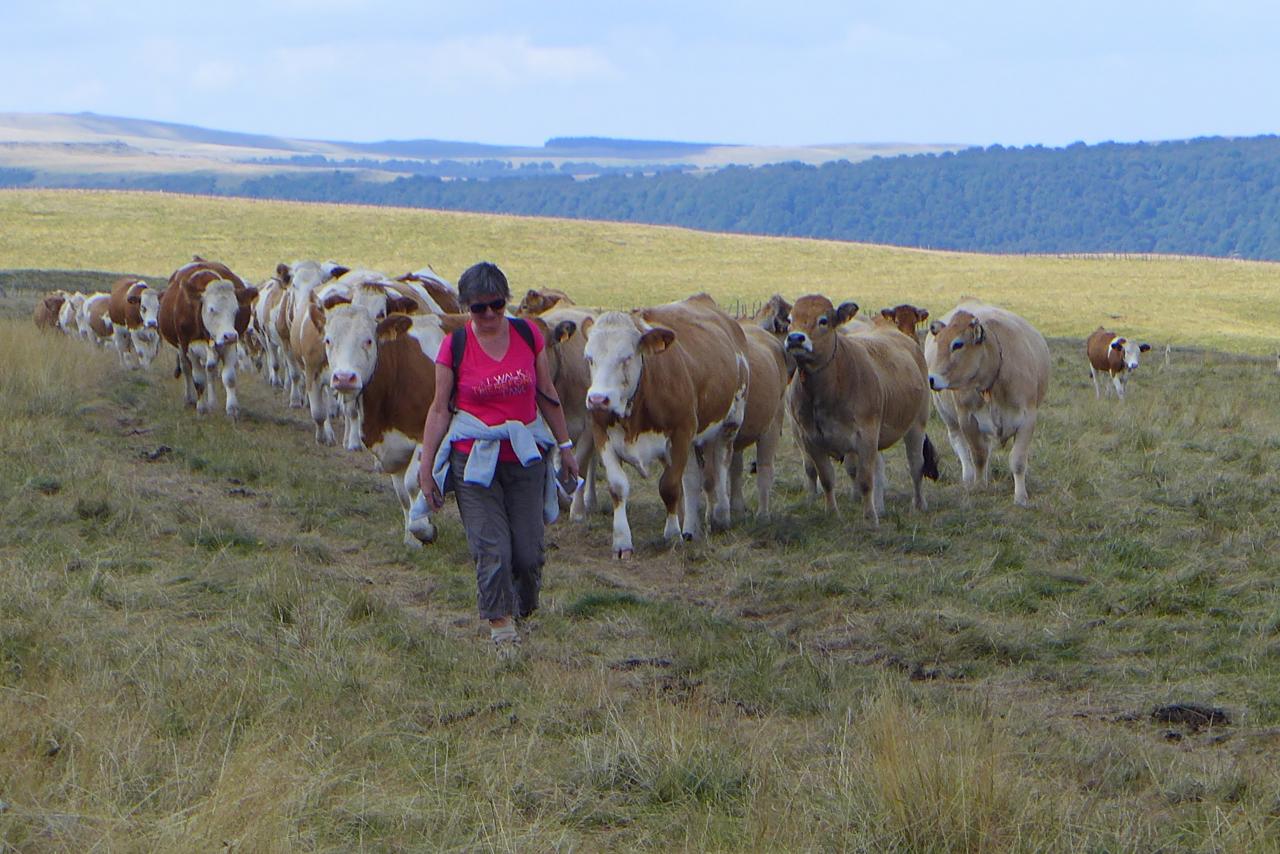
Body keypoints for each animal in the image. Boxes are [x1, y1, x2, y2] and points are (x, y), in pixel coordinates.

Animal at [156, 256, 257, 419]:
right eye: (211, 309)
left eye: (236, 310)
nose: (230, 335)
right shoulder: (189, 346)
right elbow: (198, 379)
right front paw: (201, 408)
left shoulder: (228, 345)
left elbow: (229, 378)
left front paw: (232, 409)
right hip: (181, 347)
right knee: (186, 369)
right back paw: (190, 399)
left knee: (211, 370)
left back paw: (212, 402)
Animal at [583, 295, 747, 560]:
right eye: (589, 359)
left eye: (626, 357)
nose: (598, 399)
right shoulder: (601, 433)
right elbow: (618, 487)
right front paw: (622, 542)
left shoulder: (681, 432)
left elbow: (669, 487)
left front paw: (671, 535)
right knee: (691, 480)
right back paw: (691, 528)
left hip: (730, 421)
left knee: (721, 464)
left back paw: (721, 517)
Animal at [783, 294, 936, 524]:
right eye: (790, 320)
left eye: (823, 320)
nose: (795, 339)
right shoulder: (811, 439)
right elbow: (826, 478)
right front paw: (832, 513)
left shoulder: (866, 437)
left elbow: (865, 480)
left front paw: (871, 518)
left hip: (917, 424)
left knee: (916, 465)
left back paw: (919, 504)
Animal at [931, 299, 1049, 504]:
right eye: (939, 342)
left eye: (957, 344)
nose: (931, 378)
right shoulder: (967, 419)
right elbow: (978, 455)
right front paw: (979, 486)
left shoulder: (1028, 419)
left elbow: (1018, 460)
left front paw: (1020, 497)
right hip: (948, 417)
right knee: (959, 444)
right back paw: (968, 477)